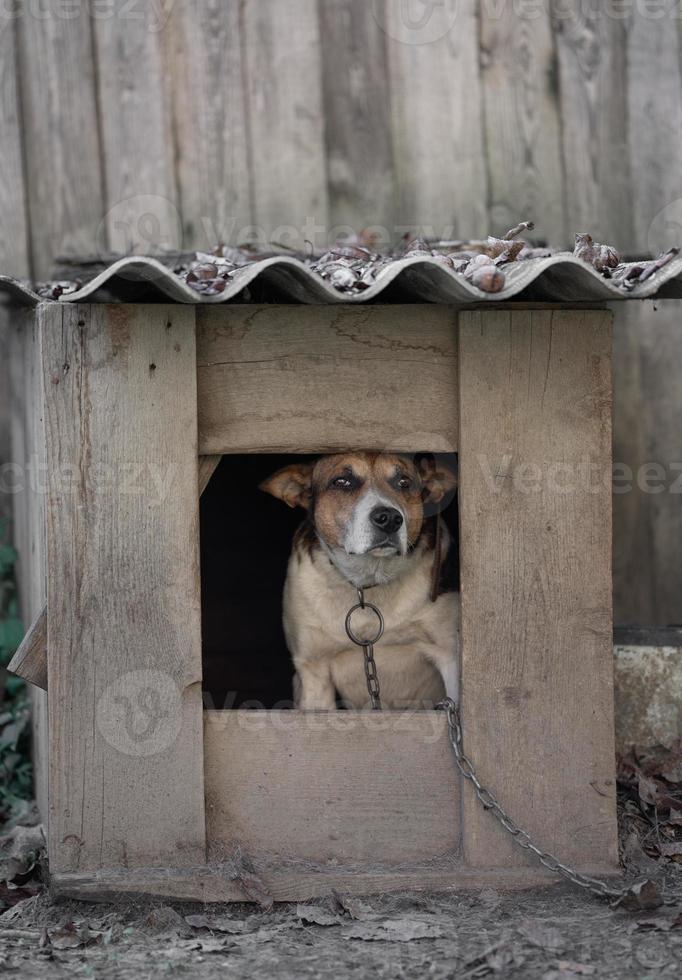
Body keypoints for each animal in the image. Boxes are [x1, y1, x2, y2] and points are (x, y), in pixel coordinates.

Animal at [258, 452, 460, 712]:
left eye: (404, 482)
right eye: (342, 482)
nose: (389, 518)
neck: (368, 580)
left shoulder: (450, 656)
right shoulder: (313, 670)